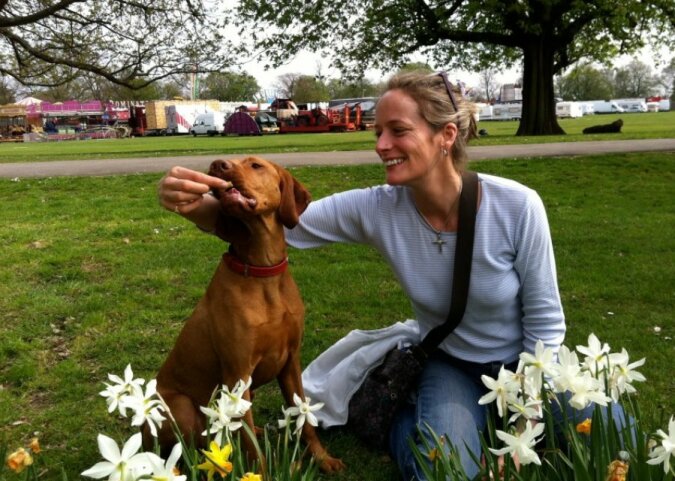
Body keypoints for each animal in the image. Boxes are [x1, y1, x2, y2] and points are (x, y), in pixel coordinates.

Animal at [149, 156, 348, 470]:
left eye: (255, 165)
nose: (217, 164)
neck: (261, 271)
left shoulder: (291, 362)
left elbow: (304, 418)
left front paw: (323, 458)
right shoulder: (237, 372)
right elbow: (253, 449)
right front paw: (262, 472)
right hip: (182, 407)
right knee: (183, 450)